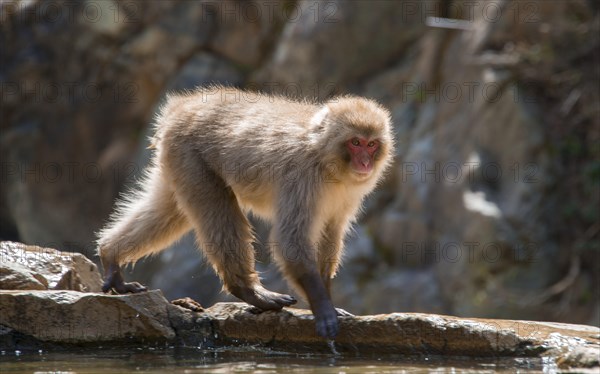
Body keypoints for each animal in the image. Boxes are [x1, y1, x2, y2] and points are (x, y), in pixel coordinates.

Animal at [98, 85, 394, 338]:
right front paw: (322, 307)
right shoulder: (301, 178)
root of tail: (182, 105)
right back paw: (248, 291)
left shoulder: (347, 196)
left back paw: (111, 255)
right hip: (189, 154)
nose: (365, 163)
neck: (326, 160)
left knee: (168, 210)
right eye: (355, 142)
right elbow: (291, 241)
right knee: (218, 212)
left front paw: (328, 299)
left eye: (371, 144)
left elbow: (330, 233)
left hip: (175, 159)